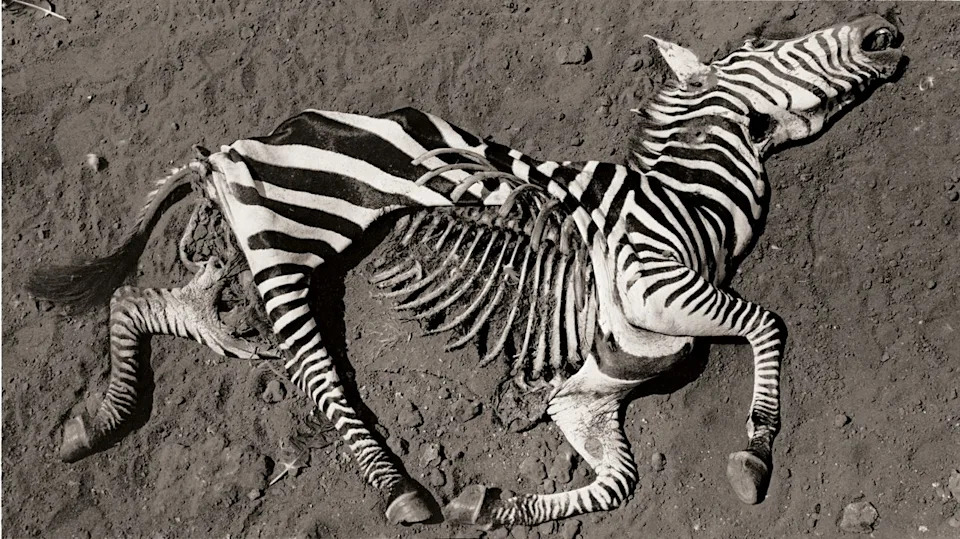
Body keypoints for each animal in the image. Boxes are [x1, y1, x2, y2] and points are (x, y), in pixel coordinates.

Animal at [27, 14, 903, 529]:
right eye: (765, 45)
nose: (886, 28)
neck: (687, 198)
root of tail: (243, 143)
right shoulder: (657, 286)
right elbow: (766, 323)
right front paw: (754, 453)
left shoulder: (586, 394)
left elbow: (616, 480)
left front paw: (496, 501)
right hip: (291, 238)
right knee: (314, 370)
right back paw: (401, 491)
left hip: (239, 262)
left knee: (150, 302)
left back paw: (95, 420)